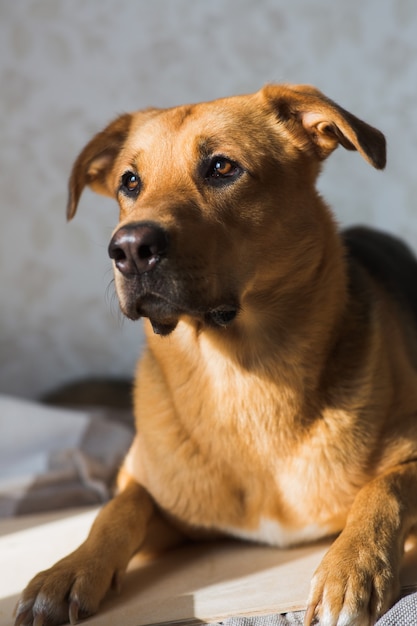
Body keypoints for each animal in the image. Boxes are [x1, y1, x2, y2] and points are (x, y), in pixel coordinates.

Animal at [14, 84, 416, 624]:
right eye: (129, 182)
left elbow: (385, 488)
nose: (128, 249)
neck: (239, 374)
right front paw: (67, 571)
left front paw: (352, 566)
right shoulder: (158, 497)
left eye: (222, 167)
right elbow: (116, 510)